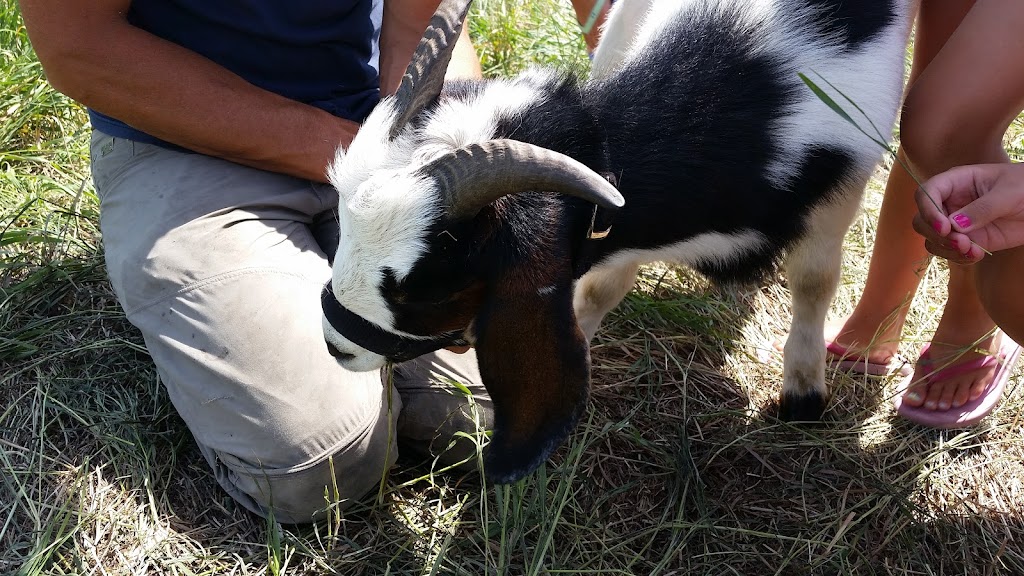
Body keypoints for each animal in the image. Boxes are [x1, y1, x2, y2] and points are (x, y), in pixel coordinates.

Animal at [319, 0, 913, 481]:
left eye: (425, 286)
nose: (334, 346)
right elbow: (601, 286)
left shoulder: (840, 194)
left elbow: (815, 281)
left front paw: (804, 393)